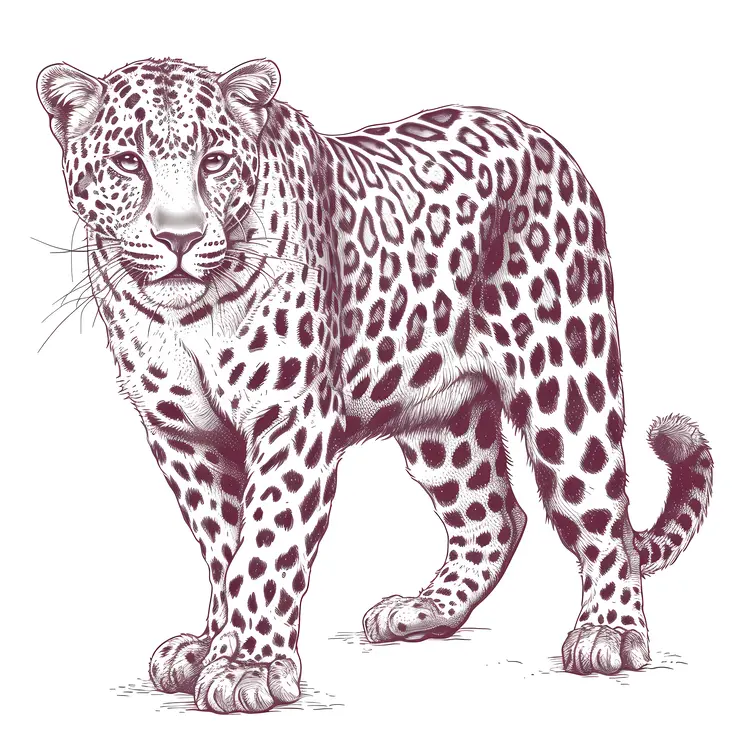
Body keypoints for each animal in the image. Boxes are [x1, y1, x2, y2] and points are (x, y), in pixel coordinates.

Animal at [37, 57, 713, 713]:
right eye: (130, 162)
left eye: (215, 161)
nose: (179, 237)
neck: (189, 318)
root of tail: (542, 138)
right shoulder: (184, 434)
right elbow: (223, 545)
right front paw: (212, 645)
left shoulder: (294, 419)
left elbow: (267, 542)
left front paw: (249, 667)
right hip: (443, 422)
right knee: (496, 515)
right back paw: (423, 610)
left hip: (567, 384)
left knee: (604, 517)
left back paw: (610, 633)